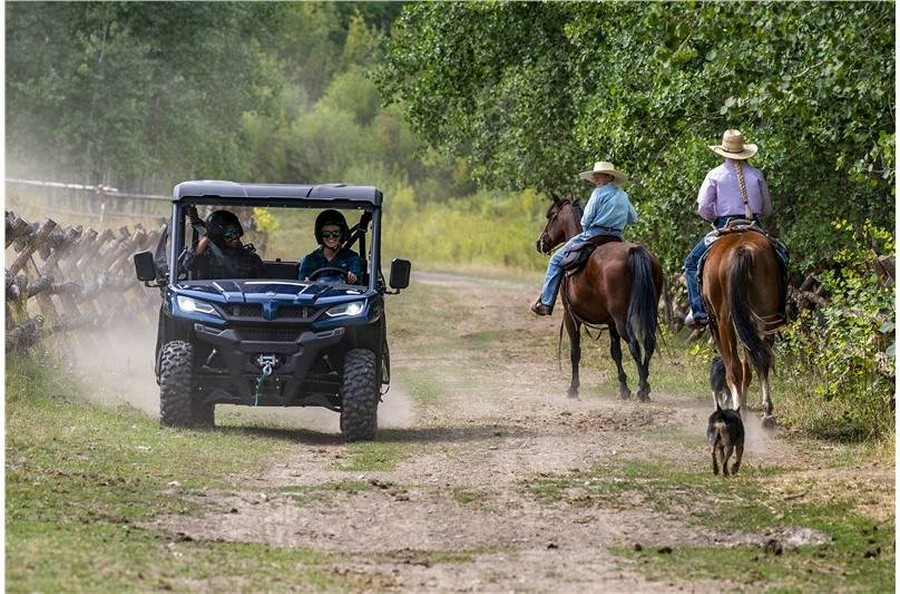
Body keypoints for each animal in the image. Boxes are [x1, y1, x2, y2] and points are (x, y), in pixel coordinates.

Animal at [532, 193, 664, 398]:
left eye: (551, 216)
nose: (540, 243)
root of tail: (635, 251)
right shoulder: (610, 322)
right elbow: (615, 352)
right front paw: (623, 388)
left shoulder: (571, 317)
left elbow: (575, 351)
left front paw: (573, 388)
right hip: (646, 312)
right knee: (649, 342)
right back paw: (645, 385)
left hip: (622, 318)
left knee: (634, 345)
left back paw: (642, 389)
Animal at [700, 227, 784, 426]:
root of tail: (742, 249)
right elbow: (749, 363)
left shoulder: (717, 325)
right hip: (765, 316)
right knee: (761, 360)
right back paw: (767, 413)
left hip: (724, 322)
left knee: (734, 367)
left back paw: (737, 410)